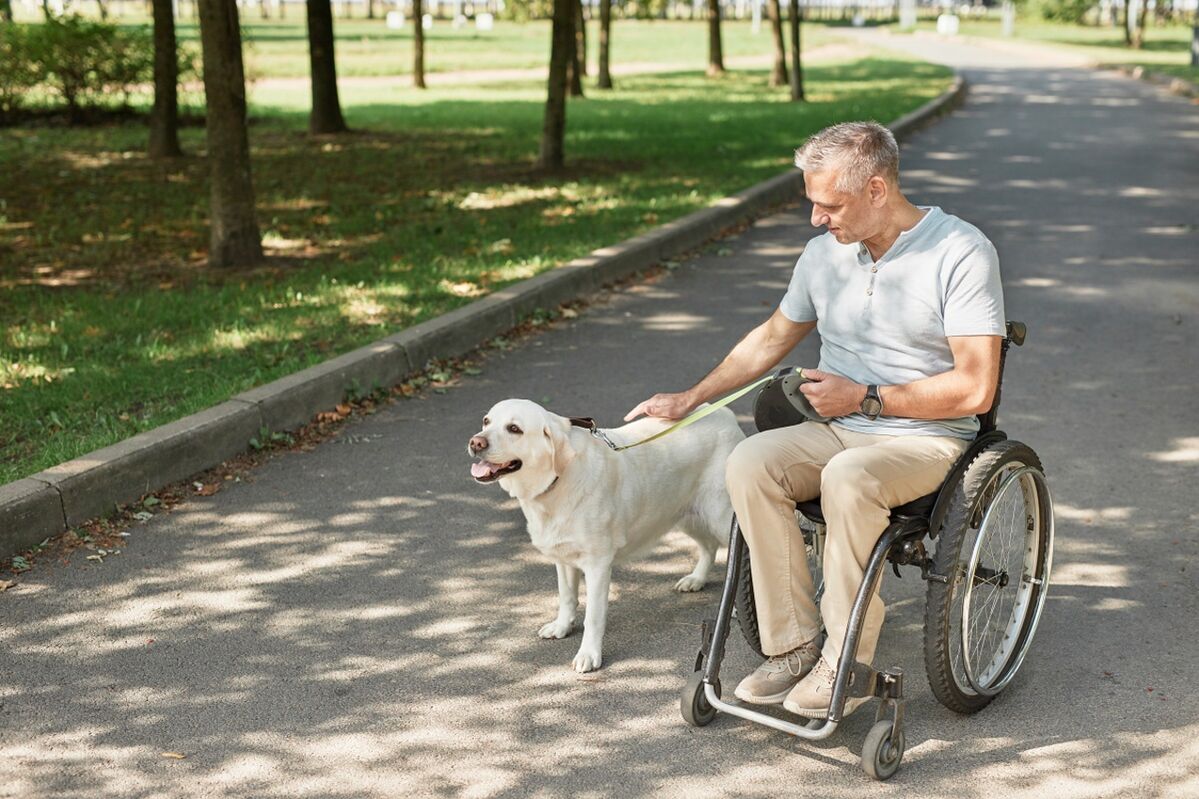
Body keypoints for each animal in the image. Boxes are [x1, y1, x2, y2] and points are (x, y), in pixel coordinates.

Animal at [465, 395, 738, 667]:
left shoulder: (597, 564)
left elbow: (593, 616)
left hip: (721, 516)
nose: (475, 442)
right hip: (682, 513)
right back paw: (696, 579)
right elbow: (566, 596)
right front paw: (562, 627)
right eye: (486, 421)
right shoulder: (563, 558)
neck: (557, 481)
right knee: (709, 547)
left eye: (514, 429)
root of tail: (724, 412)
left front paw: (589, 654)